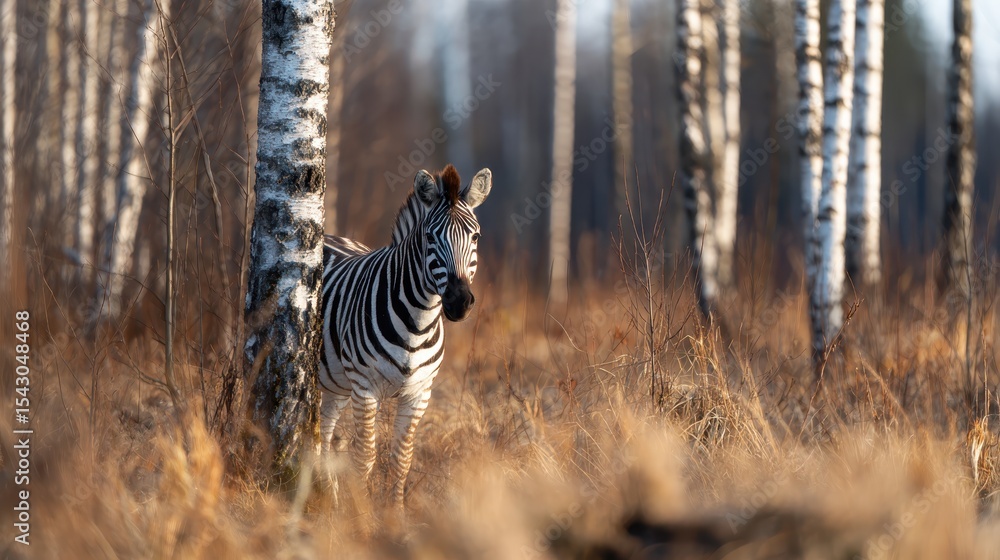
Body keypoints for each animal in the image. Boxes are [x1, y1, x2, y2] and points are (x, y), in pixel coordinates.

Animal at [318, 164, 492, 503]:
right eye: (429, 236)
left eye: (476, 235)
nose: (459, 301)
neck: (417, 323)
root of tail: (328, 235)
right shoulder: (365, 386)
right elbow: (364, 457)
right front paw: (359, 514)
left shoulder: (419, 393)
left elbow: (402, 459)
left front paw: (394, 513)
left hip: (337, 384)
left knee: (326, 433)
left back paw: (328, 498)